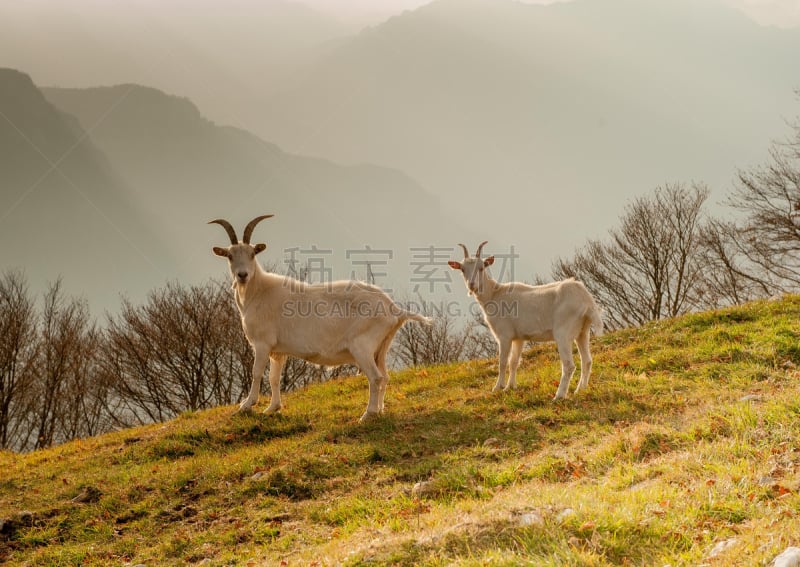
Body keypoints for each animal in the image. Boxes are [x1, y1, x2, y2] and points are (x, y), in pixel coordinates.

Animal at [209, 216, 428, 422]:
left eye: (252, 254)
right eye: (230, 256)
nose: (242, 275)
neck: (258, 292)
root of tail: (394, 309)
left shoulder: (263, 344)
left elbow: (256, 373)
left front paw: (246, 406)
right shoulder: (278, 351)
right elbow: (274, 377)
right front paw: (272, 408)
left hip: (362, 346)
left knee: (375, 378)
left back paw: (367, 415)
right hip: (380, 348)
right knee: (385, 376)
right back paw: (380, 411)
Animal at [450, 243, 600, 400]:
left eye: (481, 267)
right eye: (462, 269)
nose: (472, 285)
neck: (494, 294)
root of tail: (586, 299)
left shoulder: (504, 335)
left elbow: (503, 362)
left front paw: (497, 387)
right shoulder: (519, 338)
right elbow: (514, 362)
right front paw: (510, 387)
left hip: (563, 334)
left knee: (569, 365)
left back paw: (558, 396)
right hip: (582, 331)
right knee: (587, 360)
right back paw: (580, 390)